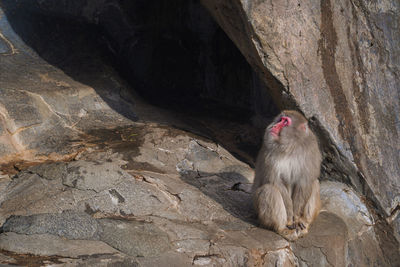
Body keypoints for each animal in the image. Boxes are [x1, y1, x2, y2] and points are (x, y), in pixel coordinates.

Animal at [253, 110, 322, 242]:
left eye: (285, 122)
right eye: (280, 119)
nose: (274, 126)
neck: (291, 147)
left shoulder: (312, 150)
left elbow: (305, 182)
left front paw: (297, 217)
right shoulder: (268, 152)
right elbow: (276, 182)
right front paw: (290, 217)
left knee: (315, 183)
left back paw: (304, 224)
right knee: (269, 190)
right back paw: (283, 229)